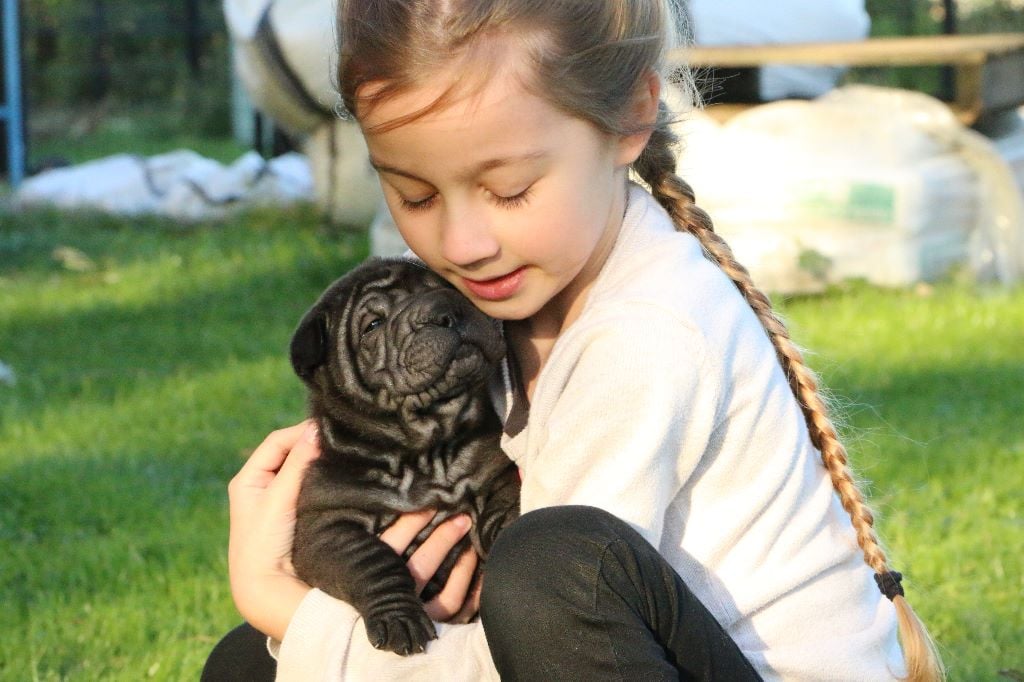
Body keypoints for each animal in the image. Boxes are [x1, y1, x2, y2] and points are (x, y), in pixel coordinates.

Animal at [292, 254, 524, 655]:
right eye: (373, 324)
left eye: (447, 287)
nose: (444, 310)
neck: (427, 451)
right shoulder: (325, 525)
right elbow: (372, 562)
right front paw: (398, 617)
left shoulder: (493, 470)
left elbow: (504, 505)